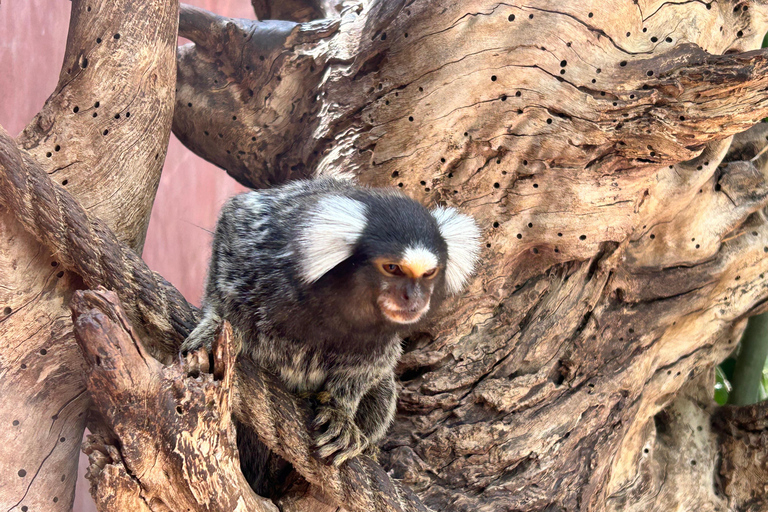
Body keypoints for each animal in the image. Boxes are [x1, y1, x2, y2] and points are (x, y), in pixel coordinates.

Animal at [182, 177, 476, 492]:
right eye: (392, 268)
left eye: (429, 273)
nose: (415, 298)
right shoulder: (264, 242)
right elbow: (231, 237)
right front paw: (215, 324)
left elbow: (370, 367)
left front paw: (340, 411)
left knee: (384, 387)